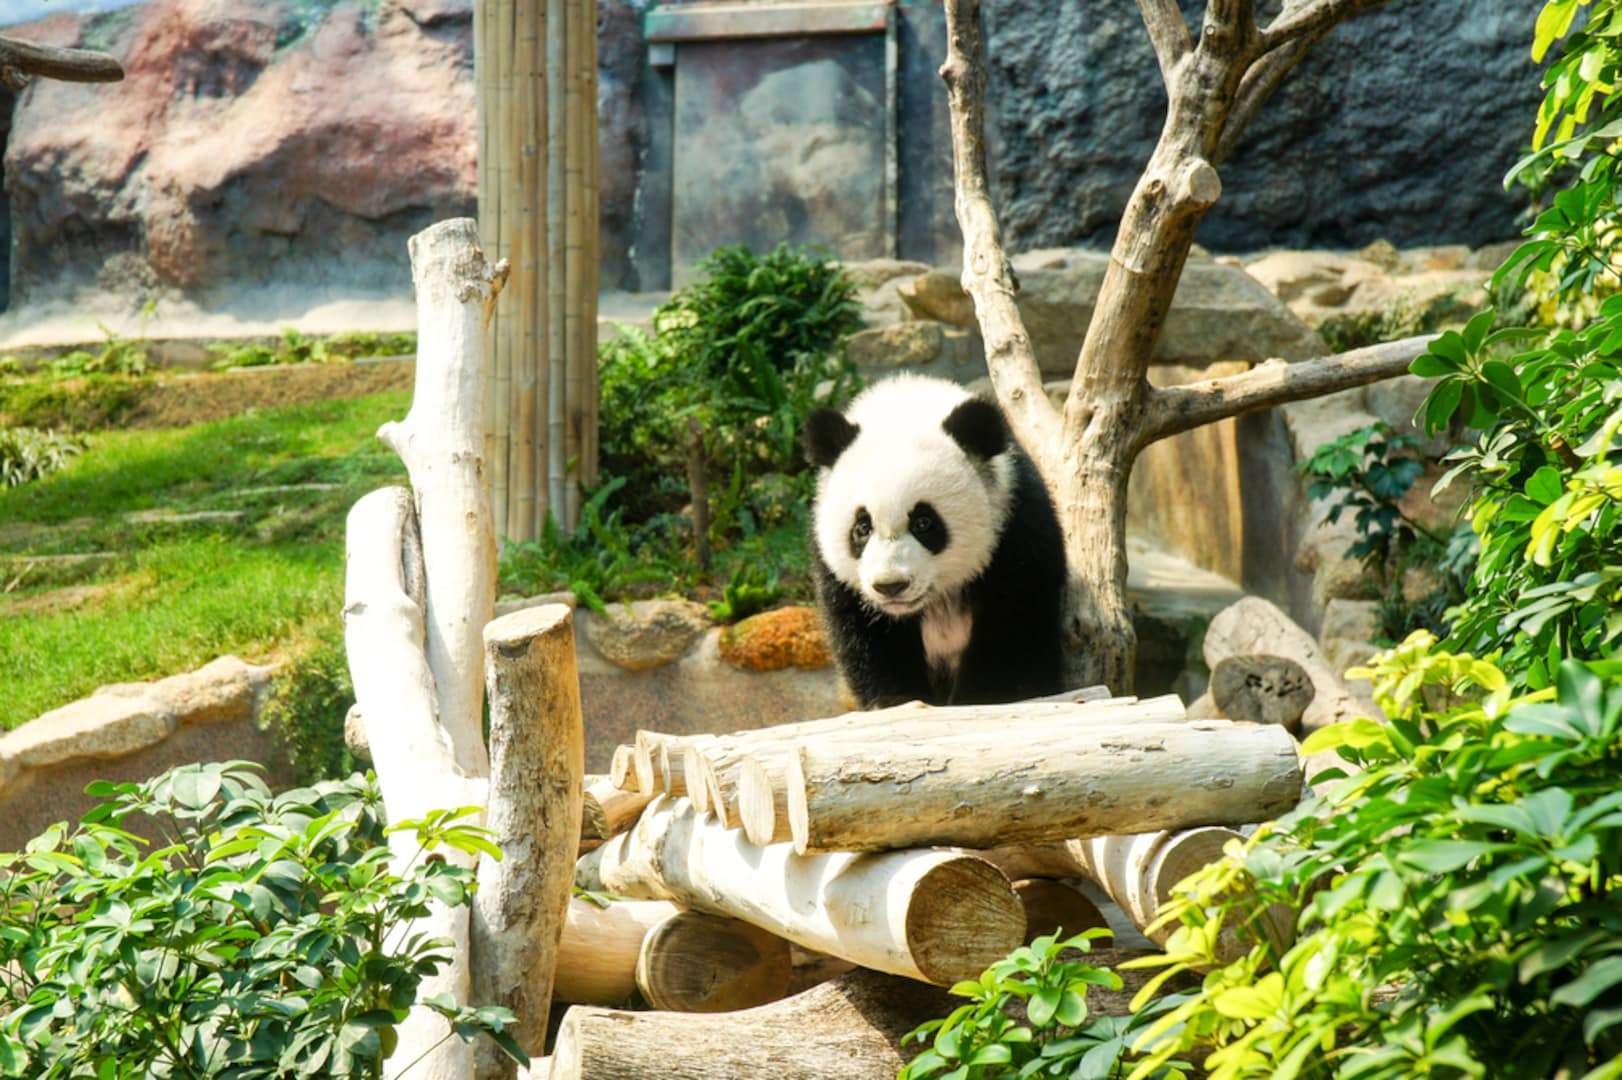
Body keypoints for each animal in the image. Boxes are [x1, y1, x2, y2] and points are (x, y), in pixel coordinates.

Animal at [801, 374, 1068, 709]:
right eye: (862, 527)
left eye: (924, 523)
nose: (891, 586)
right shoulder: (842, 582)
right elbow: (870, 640)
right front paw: (897, 699)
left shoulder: (1017, 533)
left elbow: (1012, 630)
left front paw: (982, 696)